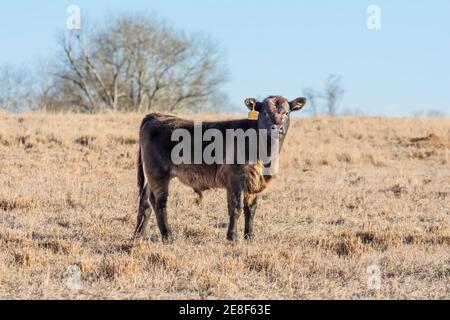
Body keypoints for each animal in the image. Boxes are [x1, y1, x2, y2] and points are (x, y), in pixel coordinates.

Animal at [134, 96, 306, 241]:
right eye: (265, 112)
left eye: (286, 112)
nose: (277, 127)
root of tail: (155, 115)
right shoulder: (236, 180)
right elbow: (236, 208)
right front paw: (232, 237)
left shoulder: (255, 181)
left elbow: (251, 209)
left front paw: (249, 236)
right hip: (158, 173)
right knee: (158, 202)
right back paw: (167, 236)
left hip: (152, 176)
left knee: (145, 200)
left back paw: (138, 234)